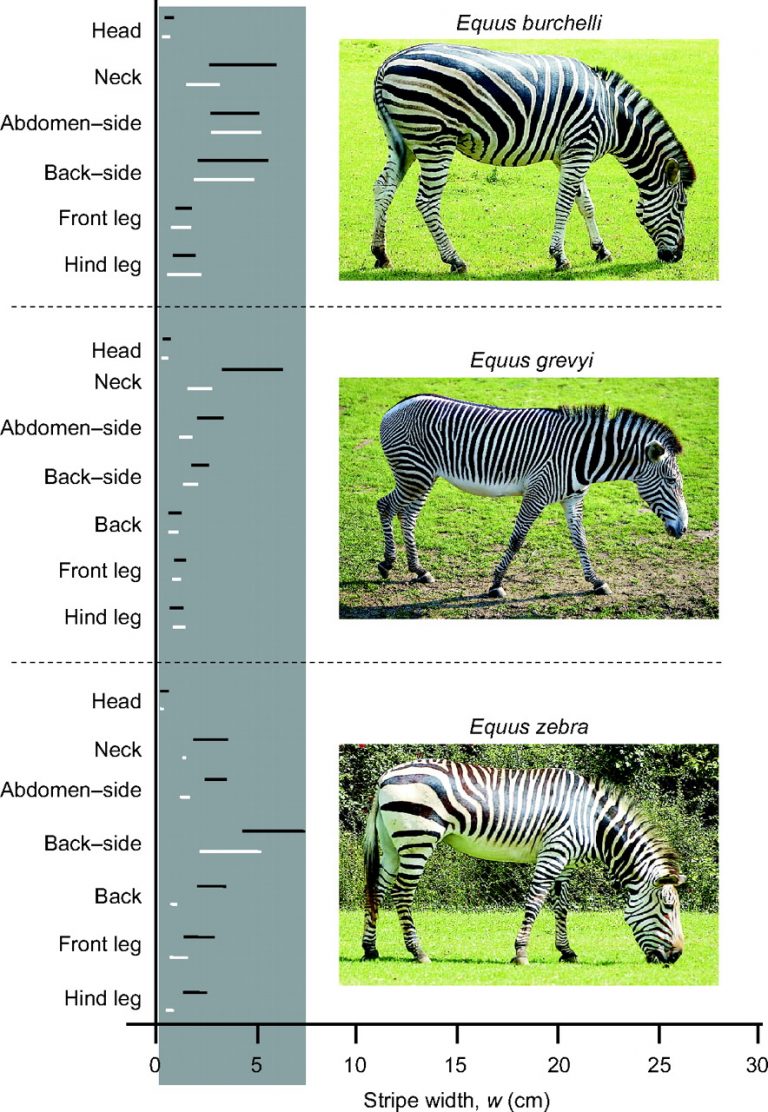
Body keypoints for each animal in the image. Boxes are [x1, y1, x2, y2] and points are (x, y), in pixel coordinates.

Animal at [362, 760, 686, 966]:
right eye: (668, 907)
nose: (677, 956)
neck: (591, 822)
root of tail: (385, 776)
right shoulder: (554, 851)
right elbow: (535, 901)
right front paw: (520, 954)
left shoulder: (565, 861)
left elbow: (561, 907)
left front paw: (567, 952)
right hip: (418, 837)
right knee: (402, 894)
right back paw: (418, 952)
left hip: (392, 843)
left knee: (377, 890)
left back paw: (370, 949)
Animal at [371, 44, 696, 273]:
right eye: (681, 206)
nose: (677, 257)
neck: (613, 117)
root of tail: (389, 62)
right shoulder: (580, 149)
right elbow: (565, 204)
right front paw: (560, 257)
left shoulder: (570, 154)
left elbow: (585, 204)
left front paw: (601, 250)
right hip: (435, 139)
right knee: (426, 201)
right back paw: (455, 260)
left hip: (404, 141)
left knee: (383, 187)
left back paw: (381, 254)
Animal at [376, 394, 688, 598]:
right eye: (672, 481)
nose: (684, 529)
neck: (584, 456)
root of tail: (395, 407)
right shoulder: (536, 493)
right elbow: (517, 539)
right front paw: (496, 584)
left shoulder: (573, 498)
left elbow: (581, 539)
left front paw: (595, 581)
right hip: (414, 473)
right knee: (386, 505)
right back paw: (387, 564)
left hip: (423, 476)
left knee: (407, 515)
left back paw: (418, 570)